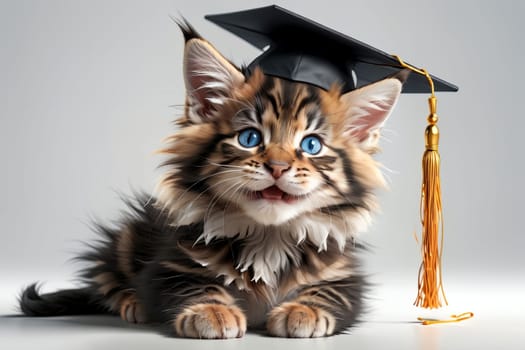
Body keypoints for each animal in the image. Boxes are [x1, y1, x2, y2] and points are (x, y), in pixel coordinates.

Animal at [19, 22, 406, 340]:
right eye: (250, 138)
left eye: (311, 145)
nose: (278, 167)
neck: (268, 237)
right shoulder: (172, 262)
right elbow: (193, 284)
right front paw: (212, 311)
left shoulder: (344, 273)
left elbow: (330, 292)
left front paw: (304, 310)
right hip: (127, 238)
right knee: (106, 277)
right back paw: (133, 302)